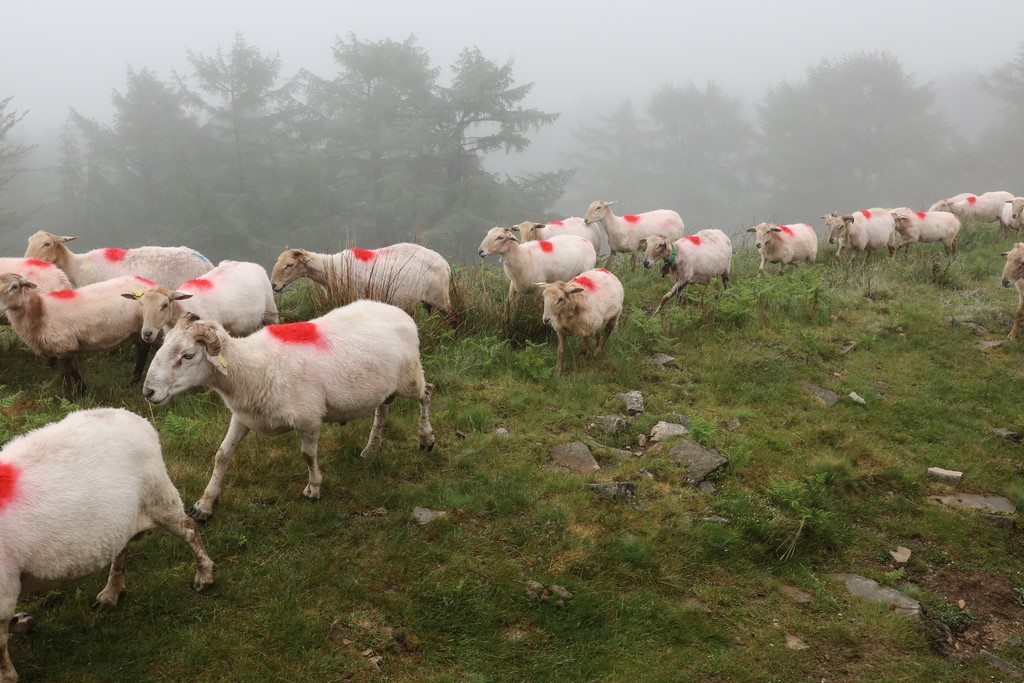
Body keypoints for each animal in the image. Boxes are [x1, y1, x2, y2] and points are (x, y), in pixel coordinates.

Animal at [0, 273, 153, 398]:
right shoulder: (68, 345)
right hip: (135, 331)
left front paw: (69, 399)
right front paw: (82, 391)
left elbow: (65, 375)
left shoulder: (63, 345)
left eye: (15, 287)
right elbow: (74, 369)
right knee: (143, 348)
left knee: (145, 348)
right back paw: (133, 381)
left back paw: (133, 381)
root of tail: (148, 282)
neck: (40, 312)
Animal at [0, 407, 214, 683]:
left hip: (159, 496)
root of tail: (131, 415)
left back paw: (204, 575)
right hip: (123, 517)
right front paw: (22, 623)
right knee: (121, 549)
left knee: (189, 529)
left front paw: (8, 674)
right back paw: (112, 593)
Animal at [124, 260, 278, 344]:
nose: (147, 333)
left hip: (270, 309)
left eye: (165, 305)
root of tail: (252, 264)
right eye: (141, 305)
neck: (183, 307)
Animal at [141, 303, 436, 521]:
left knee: (427, 393)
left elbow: (308, 455)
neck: (251, 369)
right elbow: (221, 455)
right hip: (385, 387)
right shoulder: (243, 416)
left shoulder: (309, 419)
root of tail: (400, 312)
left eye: (188, 356)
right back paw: (372, 449)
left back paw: (426, 438)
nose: (148, 392)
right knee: (383, 411)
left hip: (410, 377)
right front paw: (205, 504)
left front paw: (313, 489)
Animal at [270, 243, 454, 320]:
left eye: (289, 264)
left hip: (440, 297)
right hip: (427, 300)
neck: (331, 268)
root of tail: (445, 264)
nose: (274, 285)